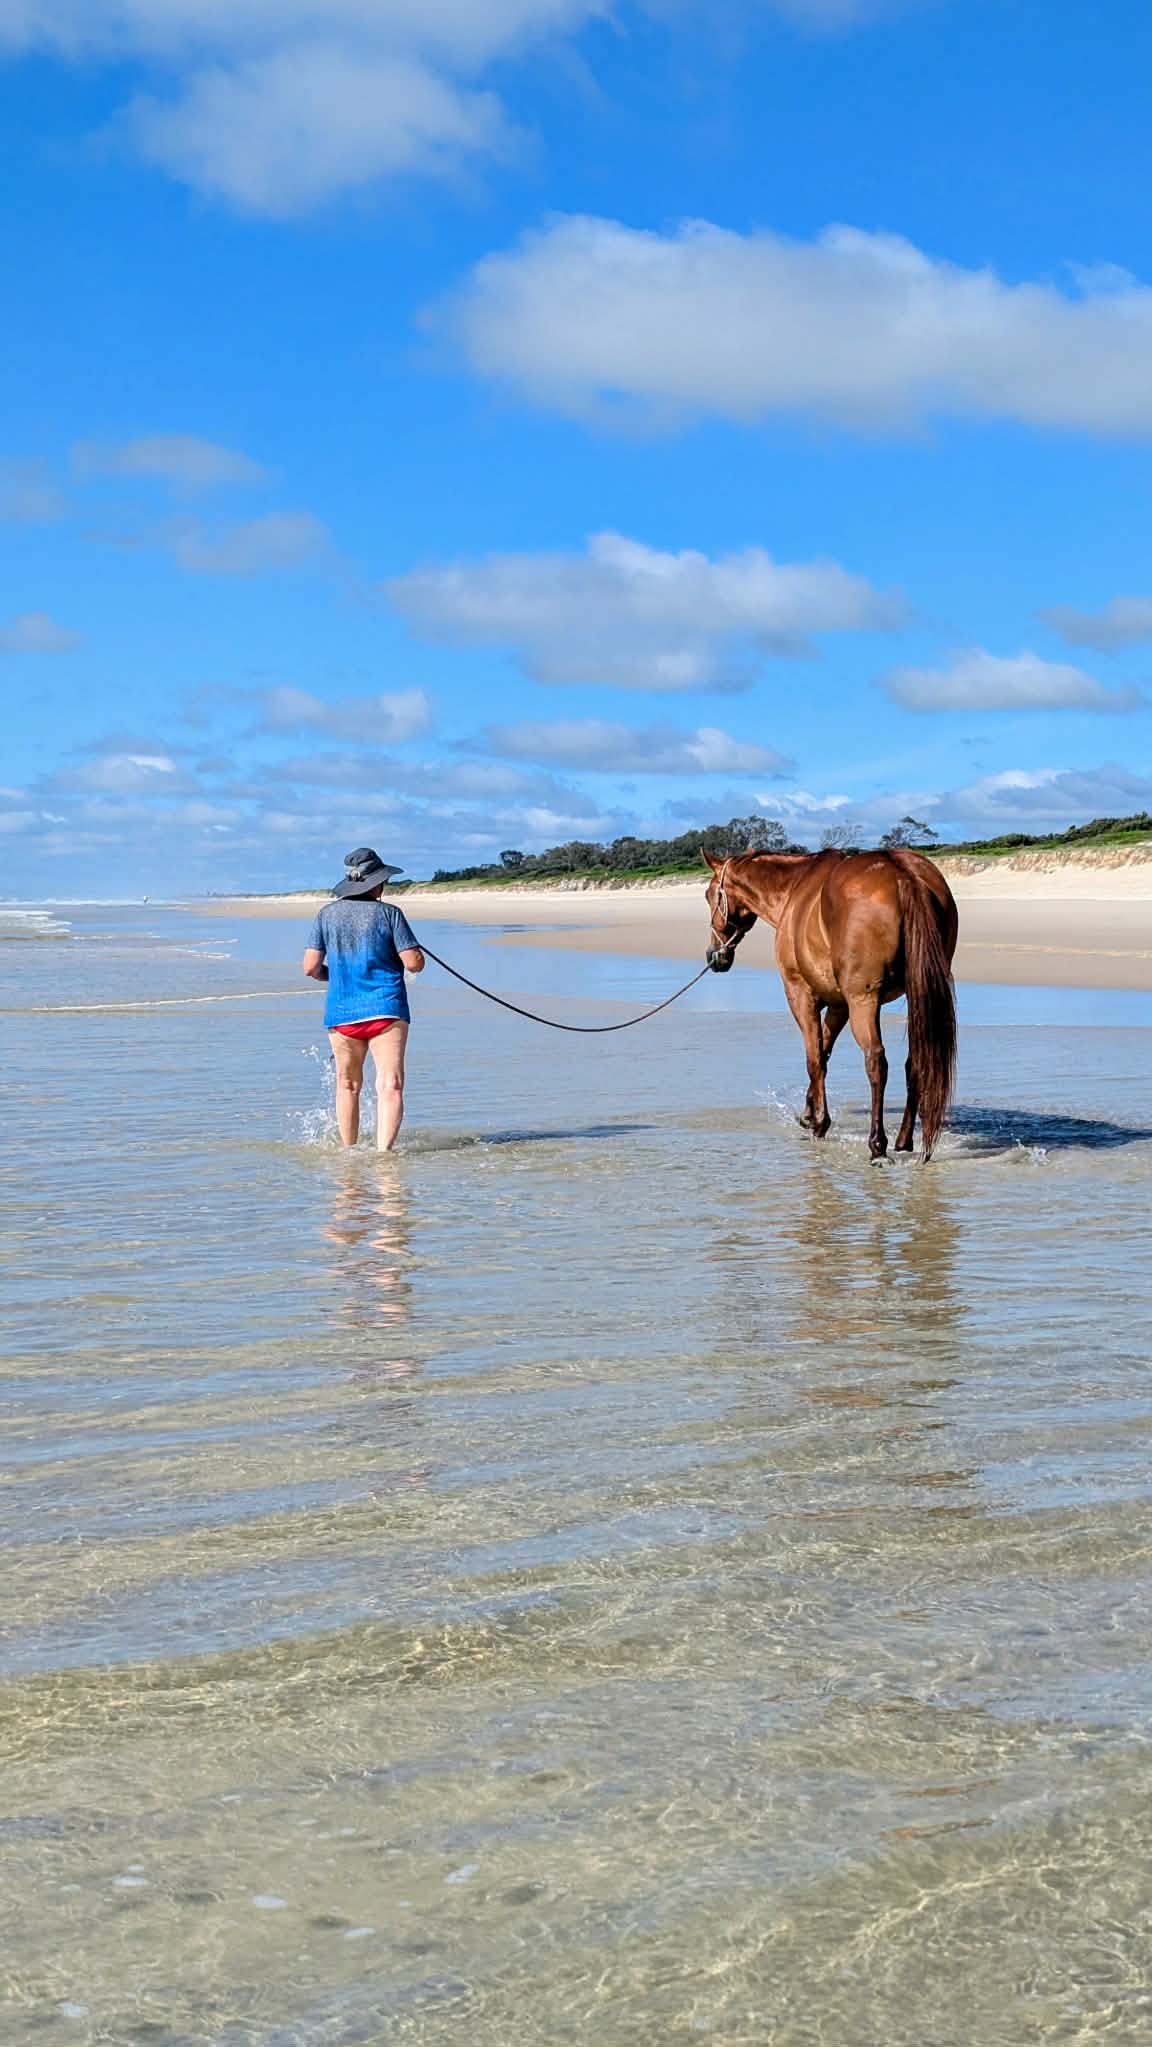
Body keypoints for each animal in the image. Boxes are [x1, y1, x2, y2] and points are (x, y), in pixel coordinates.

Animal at [703, 847, 958, 1161]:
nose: (714, 955)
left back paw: (877, 1144)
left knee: (876, 1061)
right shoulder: (840, 1004)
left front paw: (819, 1123)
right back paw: (903, 1140)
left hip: (864, 1000)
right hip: (915, 998)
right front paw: (808, 1113)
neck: (793, 890)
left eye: (709, 895)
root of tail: (903, 873)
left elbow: (814, 1058)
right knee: (915, 1062)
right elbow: (824, 1051)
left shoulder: (800, 994)